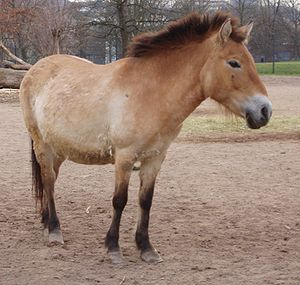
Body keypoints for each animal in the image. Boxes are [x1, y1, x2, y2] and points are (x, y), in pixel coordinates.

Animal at [18, 12, 272, 262]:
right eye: (234, 62)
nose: (265, 111)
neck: (150, 93)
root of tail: (36, 68)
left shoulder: (155, 158)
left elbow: (145, 200)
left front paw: (146, 247)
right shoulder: (124, 157)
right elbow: (119, 200)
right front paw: (113, 247)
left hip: (59, 148)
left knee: (50, 180)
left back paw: (45, 222)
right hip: (42, 144)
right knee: (48, 181)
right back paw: (54, 230)